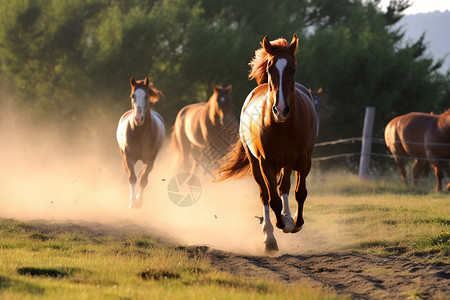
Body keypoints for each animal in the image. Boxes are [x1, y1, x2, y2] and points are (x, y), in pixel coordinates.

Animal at [116, 77, 165, 209]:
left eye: (146, 96)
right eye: (133, 95)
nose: (138, 118)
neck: (140, 133)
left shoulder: (151, 160)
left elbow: (143, 179)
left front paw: (139, 200)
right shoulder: (128, 158)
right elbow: (132, 178)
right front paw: (133, 202)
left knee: (142, 175)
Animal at [217, 34, 316, 252]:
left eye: (293, 69)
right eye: (271, 69)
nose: (281, 109)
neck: (283, 127)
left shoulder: (304, 160)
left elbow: (300, 193)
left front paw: (295, 222)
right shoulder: (266, 163)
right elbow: (273, 200)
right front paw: (277, 230)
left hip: (288, 163)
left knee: (284, 186)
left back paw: (288, 218)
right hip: (256, 165)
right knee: (265, 194)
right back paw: (269, 236)